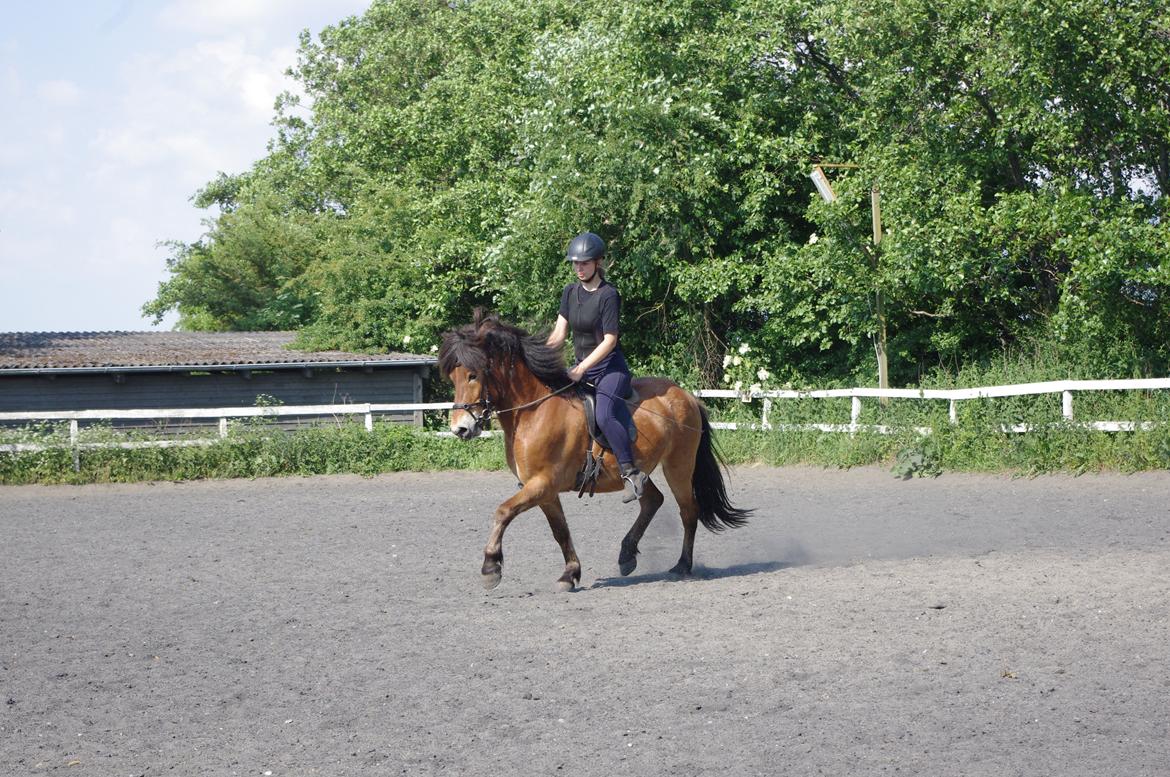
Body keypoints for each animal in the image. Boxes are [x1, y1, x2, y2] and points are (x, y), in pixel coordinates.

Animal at [439, 308, 748, 589]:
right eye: (453, 377)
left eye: (473, 375)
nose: (460, 429)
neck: (534, 411)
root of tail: (686, 396)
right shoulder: (543, 489)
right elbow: (560, 531)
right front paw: (570, 574)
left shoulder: (543, 483)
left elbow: (503, 512)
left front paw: (490, 567)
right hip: (639, 469)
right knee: (652, 500)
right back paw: (627, 555)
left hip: (679, 467)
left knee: (688, 511)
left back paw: (682, 565)